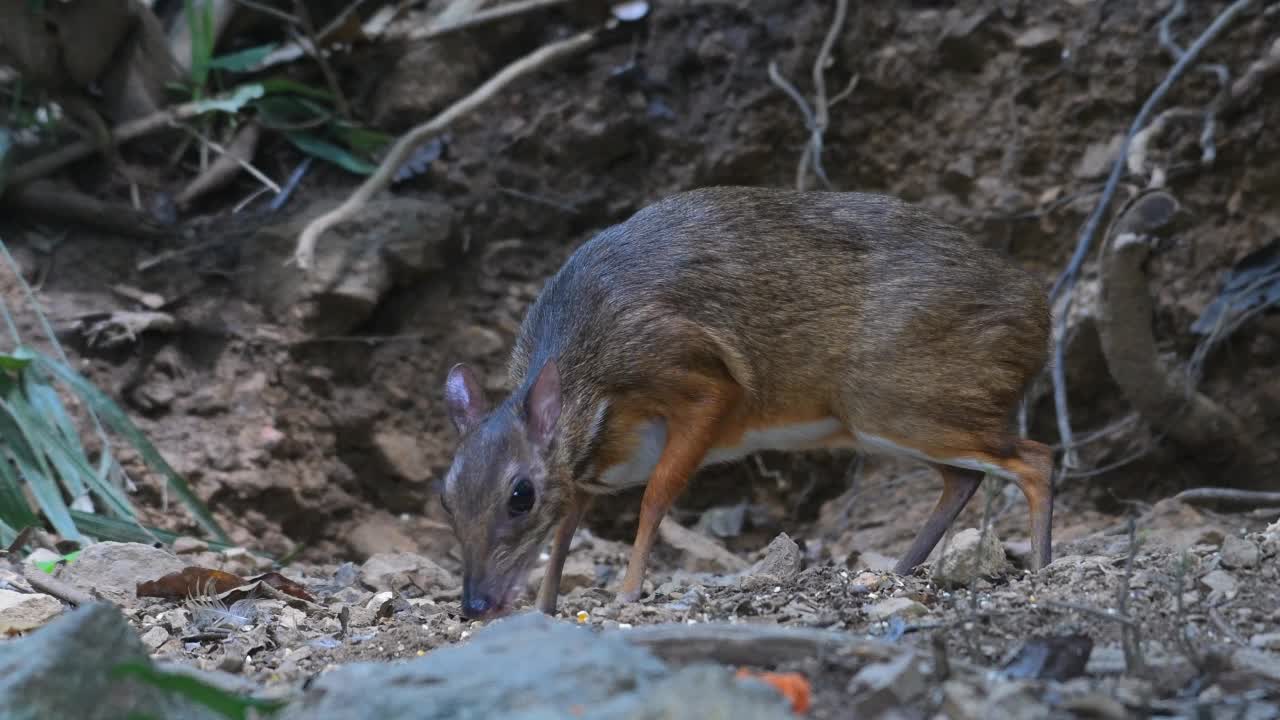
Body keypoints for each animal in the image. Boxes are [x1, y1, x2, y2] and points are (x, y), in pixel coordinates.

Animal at [440, 184, 1049, 617]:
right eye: (445, 499)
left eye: (520, 495)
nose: (474, 605)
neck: (595, 385)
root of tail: (1039, 311)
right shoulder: (585, 474)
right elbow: (566, 530)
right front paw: (544, 606)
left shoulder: (701, 386)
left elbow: (655, 498)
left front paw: (630, 592)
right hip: (897, 418)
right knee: (964, 477)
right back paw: (901, 569)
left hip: (904, 404)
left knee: (1036, 457)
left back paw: (1042, 568)